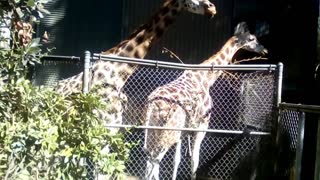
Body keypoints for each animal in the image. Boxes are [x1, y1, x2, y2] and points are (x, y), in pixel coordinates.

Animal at [142, 22, 268, 180]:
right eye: (252, 38)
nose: (264, 50)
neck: (206, 79)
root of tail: (153, 104)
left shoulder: (184, 131)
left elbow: (177, 160)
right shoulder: (201, 126)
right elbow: (195, 160)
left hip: (152, 129)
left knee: (150, 159)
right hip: (167, 131)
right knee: (155, 160)